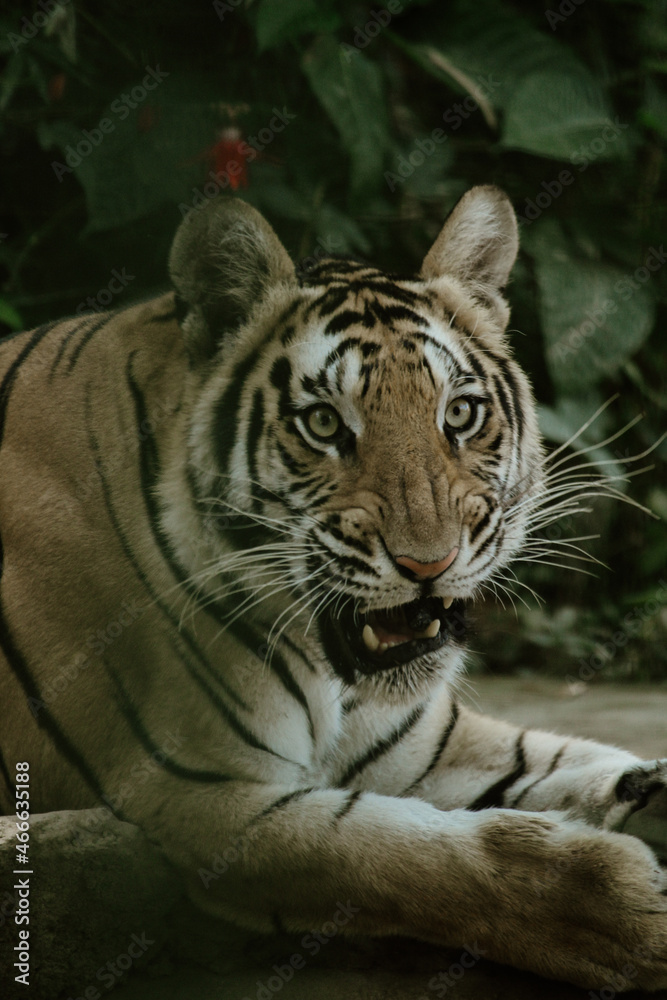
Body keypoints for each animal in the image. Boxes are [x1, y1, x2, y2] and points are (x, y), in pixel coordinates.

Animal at [1, 185, 666, 992]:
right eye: (323, 423)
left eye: (459, 414)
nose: (428, 563)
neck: (333, 678)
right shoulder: (202, 798)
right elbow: (419, 859)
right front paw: (628, 910)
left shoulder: (424, 744)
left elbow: (568, 761)